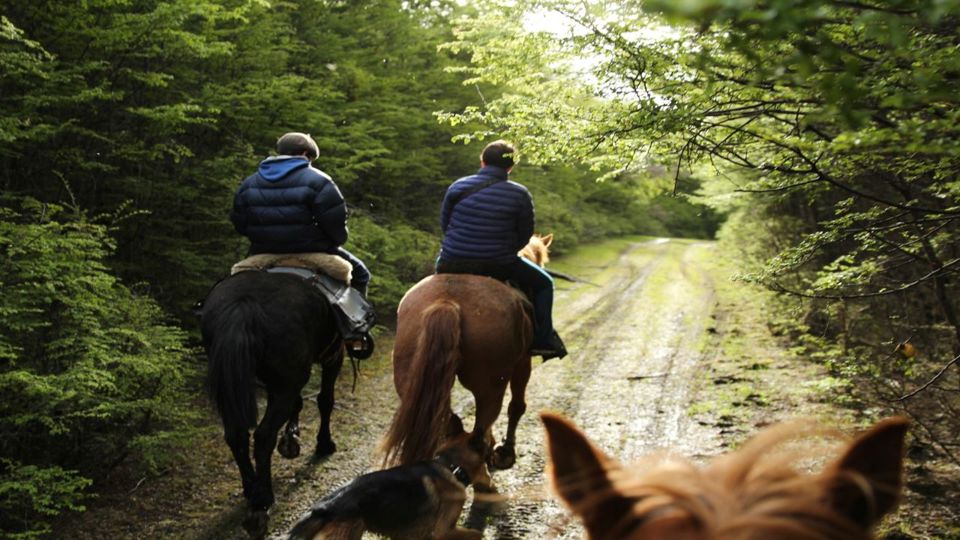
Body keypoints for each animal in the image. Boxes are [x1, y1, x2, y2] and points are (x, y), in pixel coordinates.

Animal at [200, 269, 344, 537]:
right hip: (289, 379)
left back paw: (251, 487)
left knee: (236, 435)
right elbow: (325, 400)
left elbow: (299, 403)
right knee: (263, 434)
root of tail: (244, 302)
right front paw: (324, 444)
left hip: (234, 384)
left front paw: (291, 439)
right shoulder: (334, 355)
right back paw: (262, 501)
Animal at [380, 234, 555, 473]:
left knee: (449, 420)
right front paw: (505, 452)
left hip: (409, 380)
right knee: (480, 428)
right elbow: (517, 406)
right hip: (490, 386)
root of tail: (447, 302)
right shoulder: (523, 363)